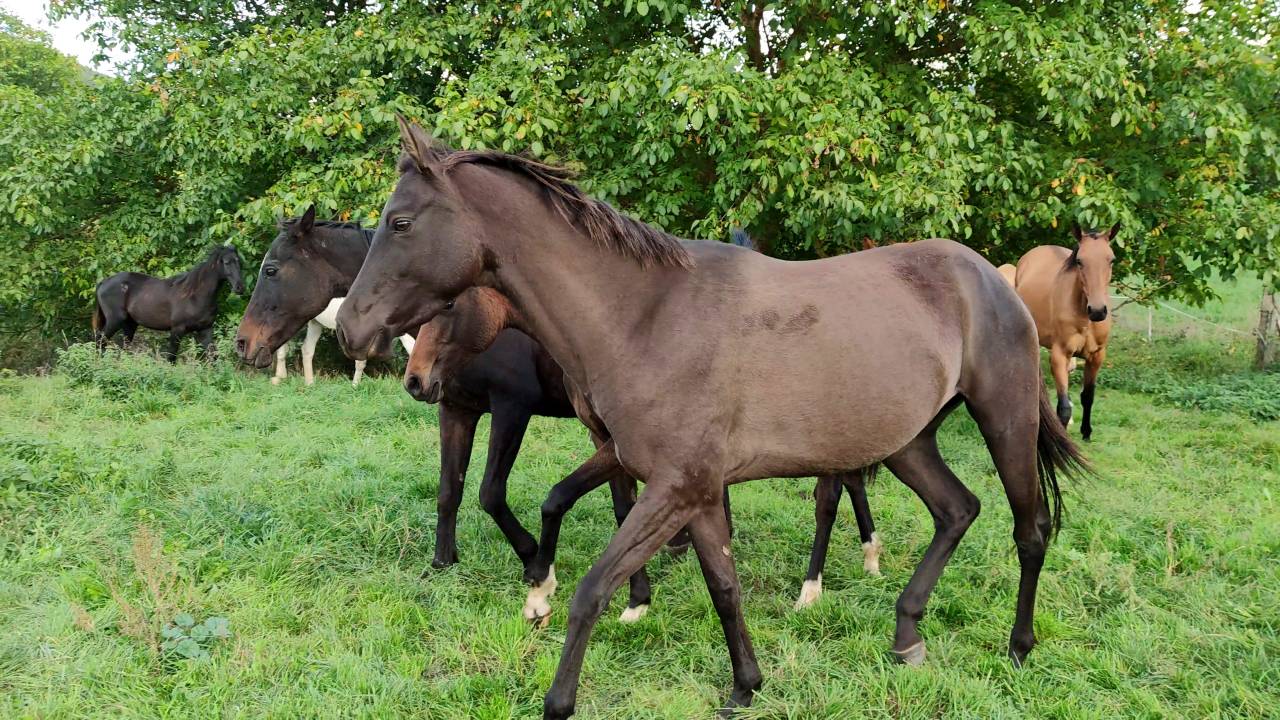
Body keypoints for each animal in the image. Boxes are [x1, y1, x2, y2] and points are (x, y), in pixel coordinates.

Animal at [92, 245, 245, 361]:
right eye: (226, 262)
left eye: (238, 262)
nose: (239, 287)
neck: (195, 295)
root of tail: (103, 282)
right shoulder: (177, 330)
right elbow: (171, 357)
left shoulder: (205, 330)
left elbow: (213, 356)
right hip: (115, 320)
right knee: (100, 341)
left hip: (130, 324)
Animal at [272, 296, 415, 386]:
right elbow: (360, 361)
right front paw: (355, 386)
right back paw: (279, 377)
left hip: (315, 322)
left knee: (306, 348)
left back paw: (309, 383)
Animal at [403, 285, 884, 618]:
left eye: (449, 303)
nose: (415, 380)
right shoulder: (457, 410)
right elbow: (449, 490)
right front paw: (443, 562)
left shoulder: (513, 408)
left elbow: (492, 492)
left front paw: (531, 558)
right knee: (853, 478)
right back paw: (869, 555)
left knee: (832, 493)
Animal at [1012, 224, 1118, 439]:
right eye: (1079, 261)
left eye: (1111, 260)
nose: (1097, 311)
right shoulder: (1060, 354)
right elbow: (1063, 408)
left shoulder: (1097, 356)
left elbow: (1088, 396)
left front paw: (1086, 432)